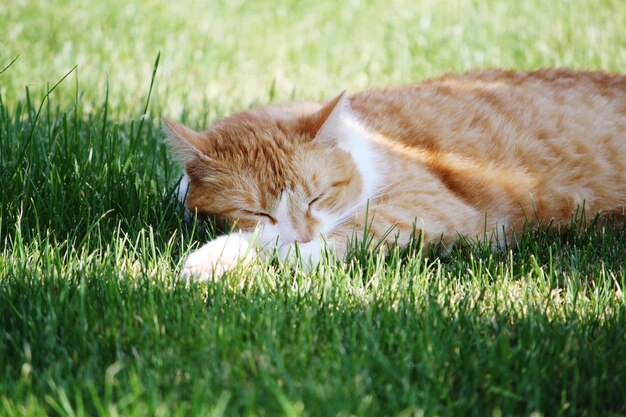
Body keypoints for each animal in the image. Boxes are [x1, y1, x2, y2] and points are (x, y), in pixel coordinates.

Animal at [165, 68, 624, 280]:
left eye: (318, 196)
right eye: (258, 212)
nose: (304, 236)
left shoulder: (440, 207)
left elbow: (363, 225)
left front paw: (291, 254)